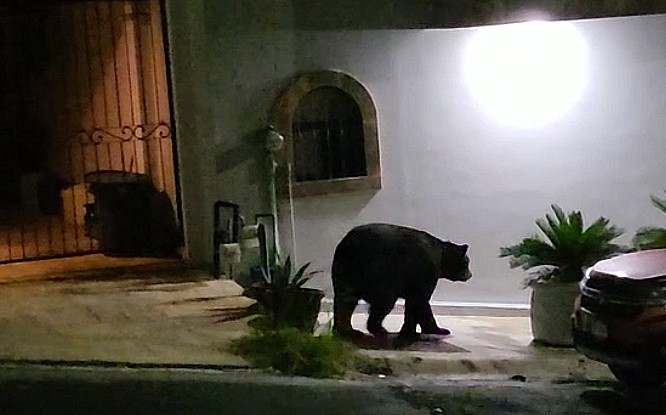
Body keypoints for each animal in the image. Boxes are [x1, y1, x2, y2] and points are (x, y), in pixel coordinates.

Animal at [331, 223, 472, 347]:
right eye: (467, 262)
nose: (470, 274)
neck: (440, 258)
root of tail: (346, 244)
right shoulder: (424, 275)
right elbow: (418, 304)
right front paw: (410, 335)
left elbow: (423, 308)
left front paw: (435, 330)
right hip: (382, 276)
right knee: (381, 305)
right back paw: (380, 331)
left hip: (347, 275)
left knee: (345, 303)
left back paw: (347, 331)